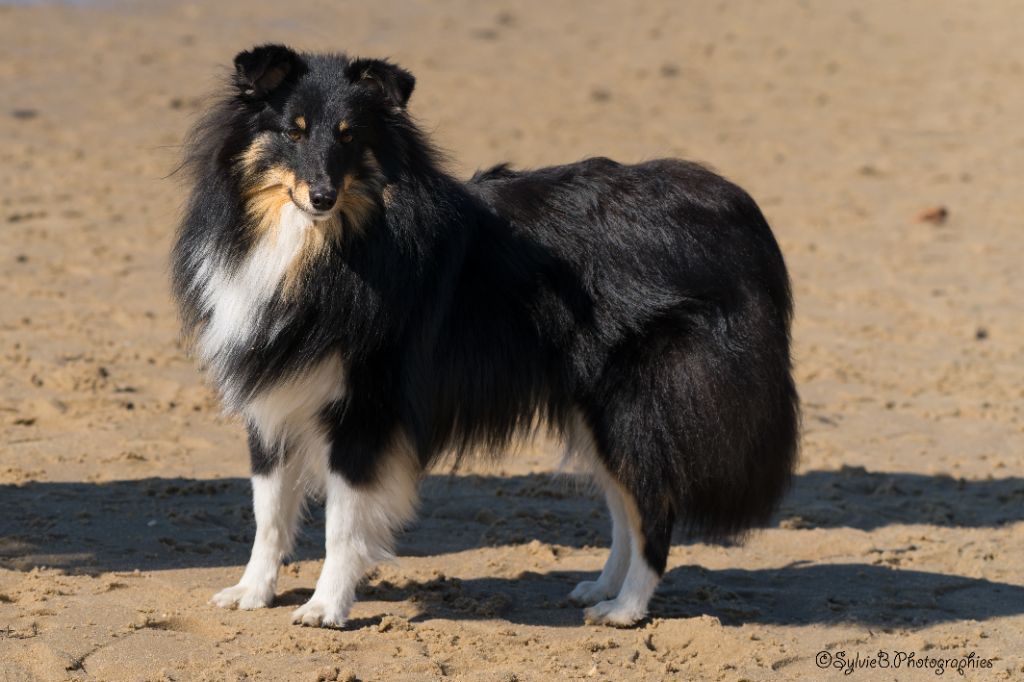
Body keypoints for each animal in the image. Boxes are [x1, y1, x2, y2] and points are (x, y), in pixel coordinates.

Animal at [169, 43, 798, 626]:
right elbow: (268, 511)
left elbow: (341, 524)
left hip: (632, 403)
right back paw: (600, 588)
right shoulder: (272, 396)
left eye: (349, 136)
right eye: (292, 132)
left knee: (654, 504)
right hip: (592, 406)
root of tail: (736, 210)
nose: (321, 197)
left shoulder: (366, 409)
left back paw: (625, 608)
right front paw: (250, 593)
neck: (314, 246)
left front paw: (325, 607)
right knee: (627, 505)